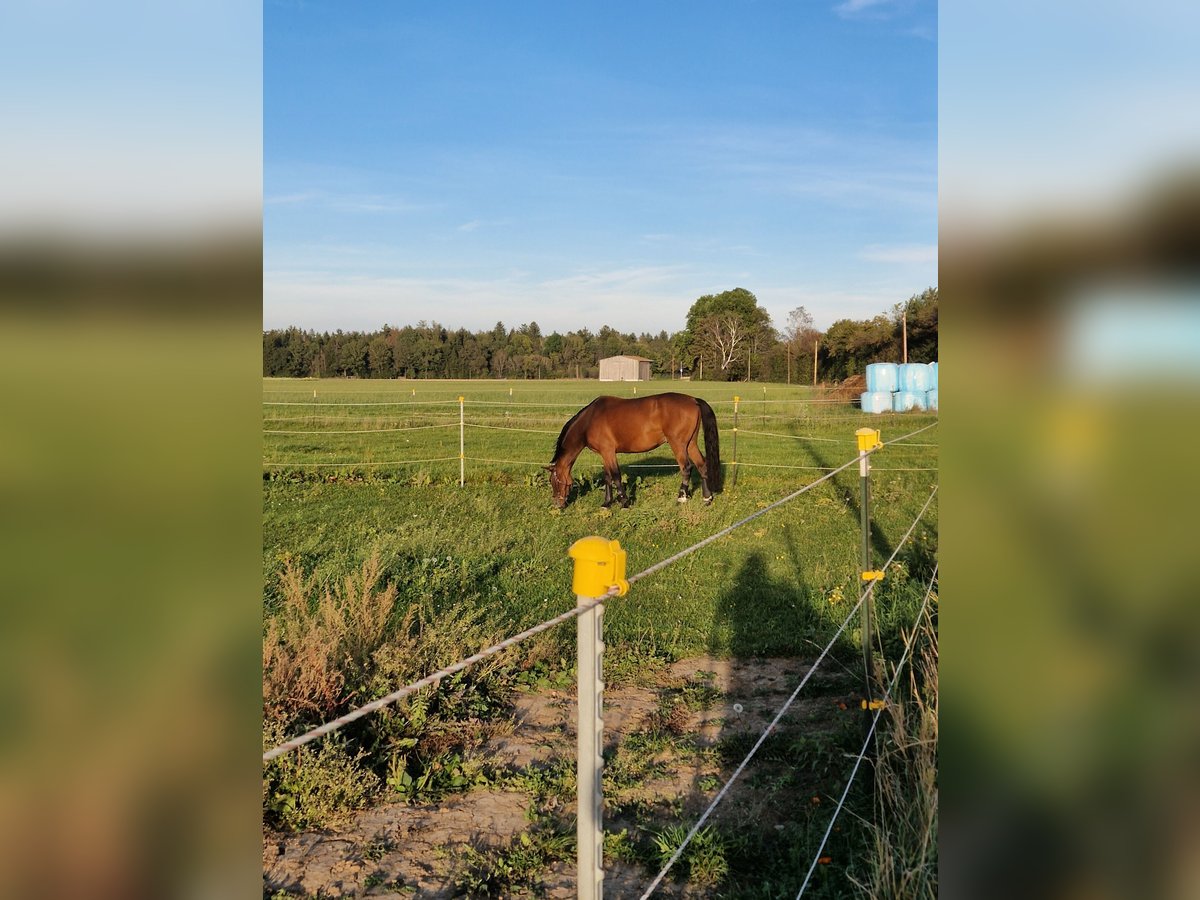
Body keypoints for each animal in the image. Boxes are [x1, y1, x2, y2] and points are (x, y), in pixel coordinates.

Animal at [544, 393, 720, 511]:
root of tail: (693, 400)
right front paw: (607, 503)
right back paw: (707, 498)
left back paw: (681, 498)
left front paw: (624, 503)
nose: (557, 504)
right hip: (690, 444)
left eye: (554, 482)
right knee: (702, 465)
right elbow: (607, 477)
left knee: (686, 468)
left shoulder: (609, 452)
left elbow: (615, 476)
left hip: (678, 444)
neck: (590, 420)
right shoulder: (605, 454)